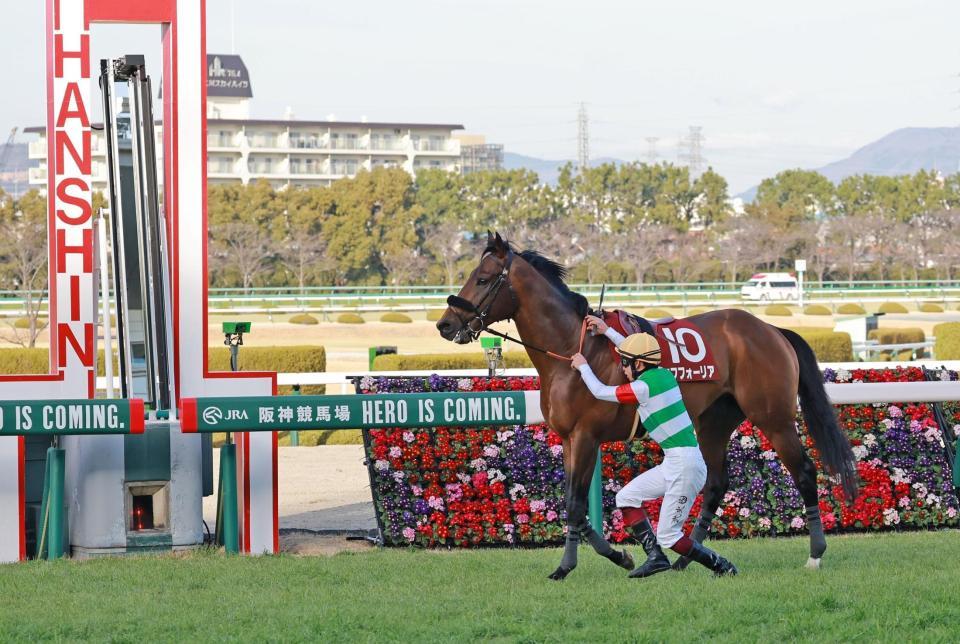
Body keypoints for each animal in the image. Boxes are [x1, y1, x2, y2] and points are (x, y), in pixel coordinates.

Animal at [438, 234, 860, 580]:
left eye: (482, 278)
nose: (445, 324)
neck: (571, 348)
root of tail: (772, 330)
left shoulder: (587, 435)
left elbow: (575, 503)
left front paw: (571, 565)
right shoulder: (570, 438)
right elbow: (575, 505)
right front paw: (618, 555)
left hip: (773, 418)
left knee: (804, 472)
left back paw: (815, 554)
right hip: (714, 421)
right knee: (716, 483)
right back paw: (688, 557)